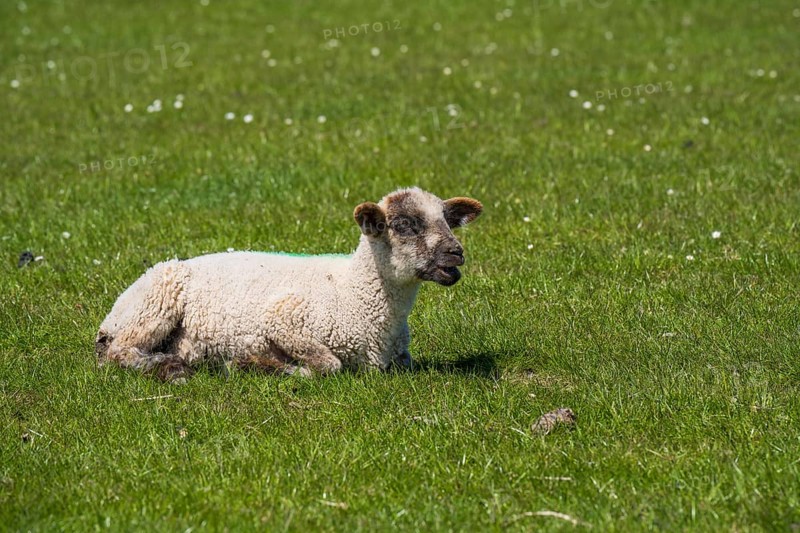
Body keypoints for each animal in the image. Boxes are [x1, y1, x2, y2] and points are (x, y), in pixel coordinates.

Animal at [95, 187, 482, 381]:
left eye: (447, 220)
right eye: (403, 225)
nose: (456, 253)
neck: (354, 294)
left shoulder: (400, 358)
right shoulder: (283, 319)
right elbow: (328, 365)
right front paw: (258, 366)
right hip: (156, 304)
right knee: (120, 353)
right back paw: (170, 368)